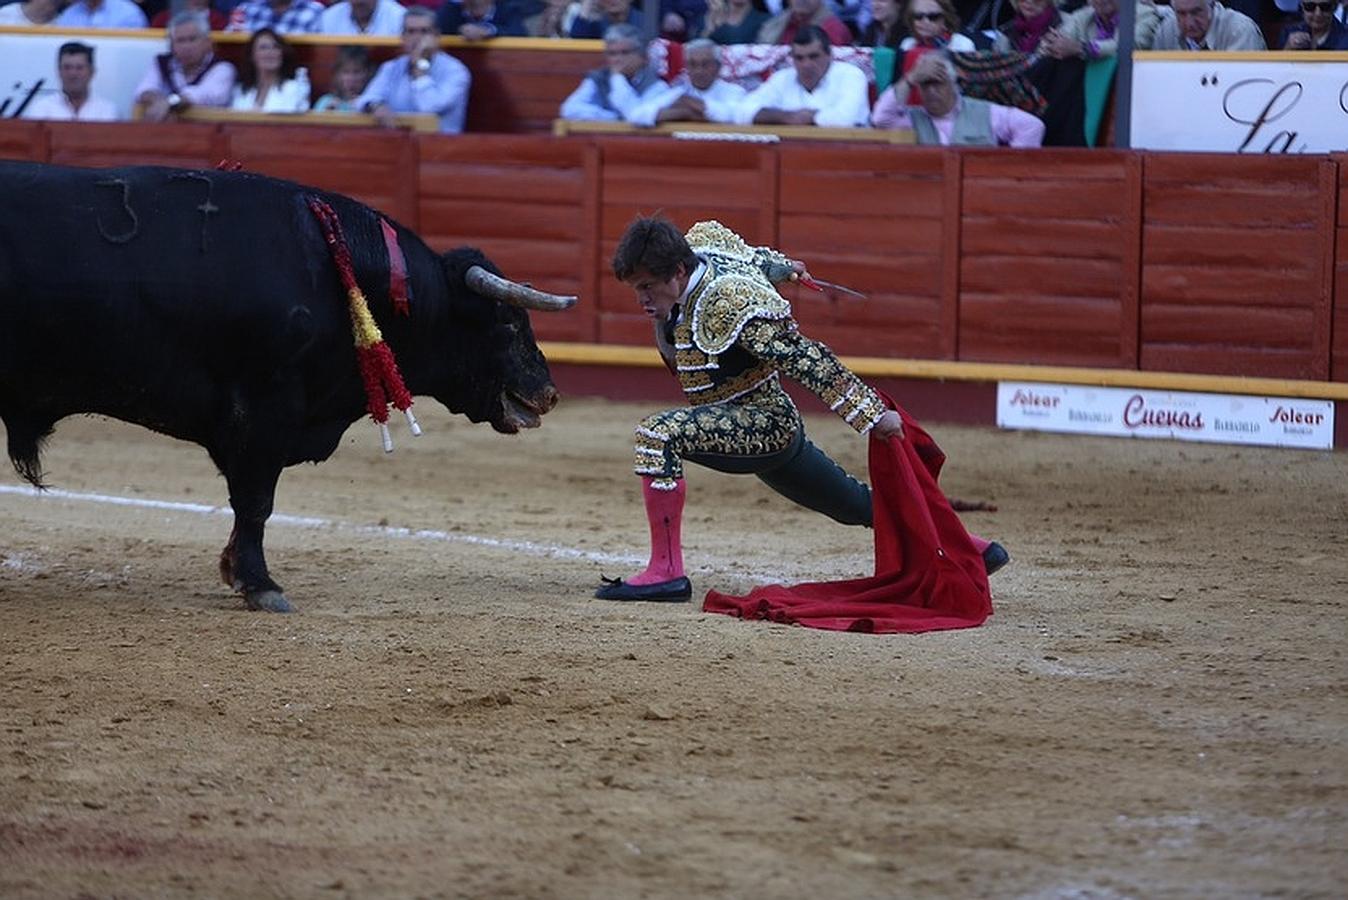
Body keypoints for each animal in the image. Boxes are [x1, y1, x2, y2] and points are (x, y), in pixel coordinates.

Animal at [0, 159, 574, 611]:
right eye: (507, 324)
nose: (548, 393)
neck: (339, 271)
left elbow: (249, 503)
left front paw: (236, 570)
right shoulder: (264, 409)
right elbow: (256, 501)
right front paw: (260, 585)